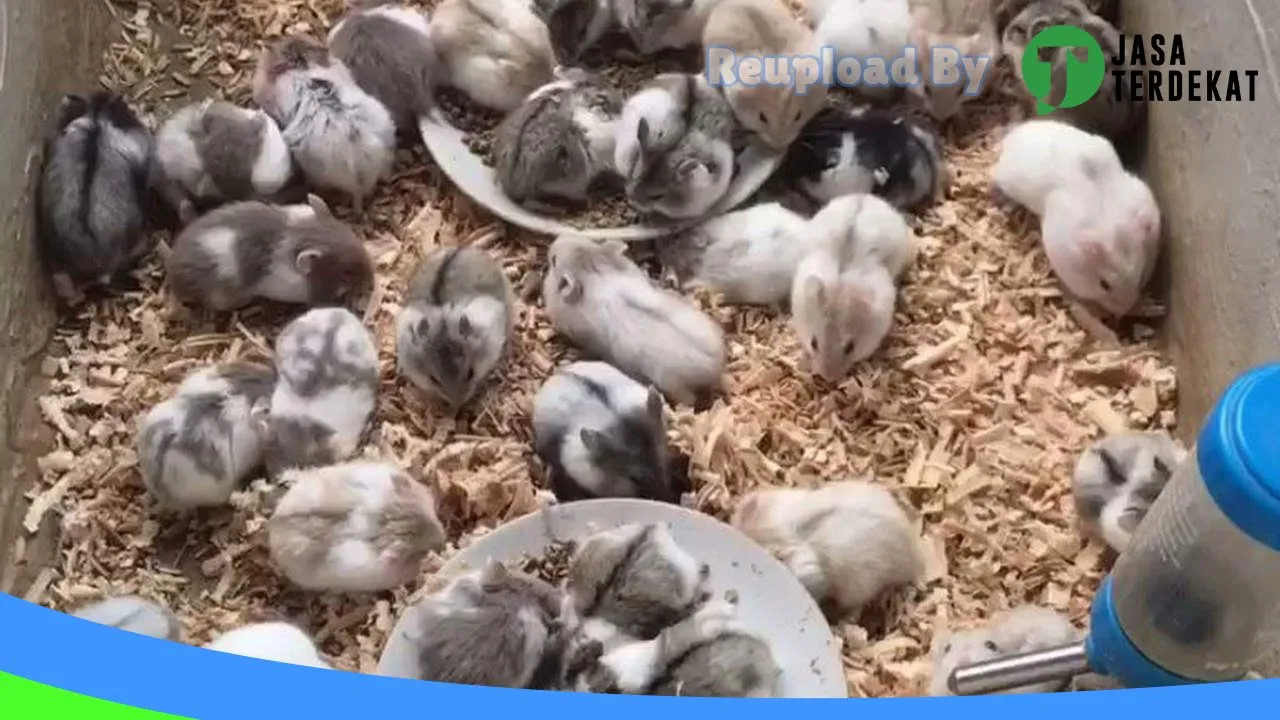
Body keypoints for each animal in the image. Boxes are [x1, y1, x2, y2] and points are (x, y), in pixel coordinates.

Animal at [542, 235, 726, 408]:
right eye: (588, 241)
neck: (591, 271)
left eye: (554, 261)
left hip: (673, 385)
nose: (556, 241)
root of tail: (716, 368)